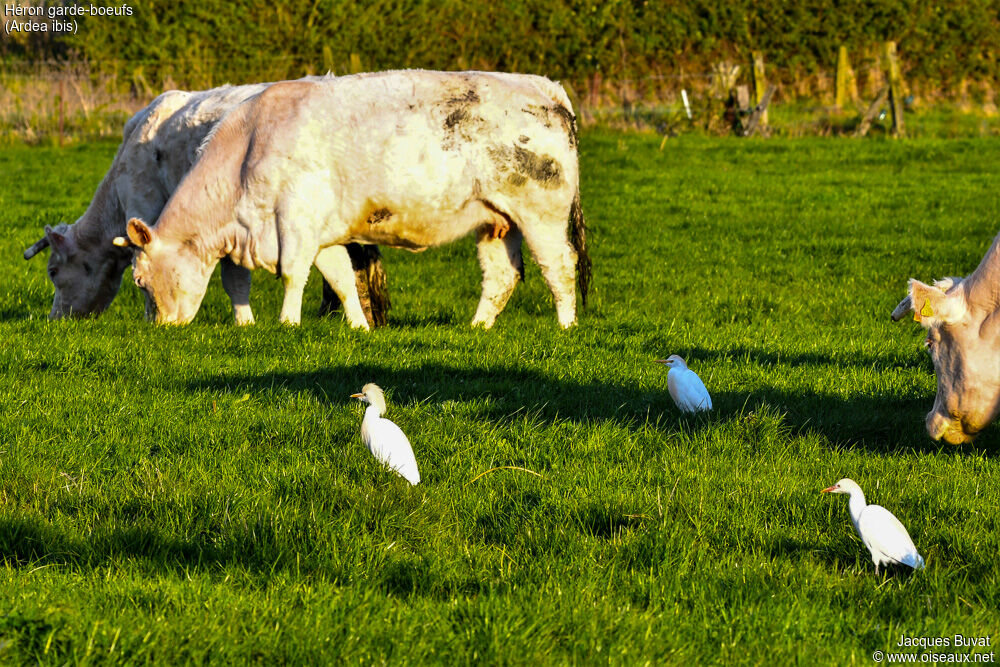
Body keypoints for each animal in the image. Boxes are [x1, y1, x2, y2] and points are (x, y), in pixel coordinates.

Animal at [116, 71, 588, 332]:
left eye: (139, 281)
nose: (161, 328)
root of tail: (542, 85)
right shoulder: (322, 235)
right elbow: (341, 278)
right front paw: (359, 327)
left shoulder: (297, 221)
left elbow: (293, 275)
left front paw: (288, 323)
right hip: (498, 221)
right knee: (501, 276)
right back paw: (477, 327)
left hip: (542, 214)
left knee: (559, 266)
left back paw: (566, 326)